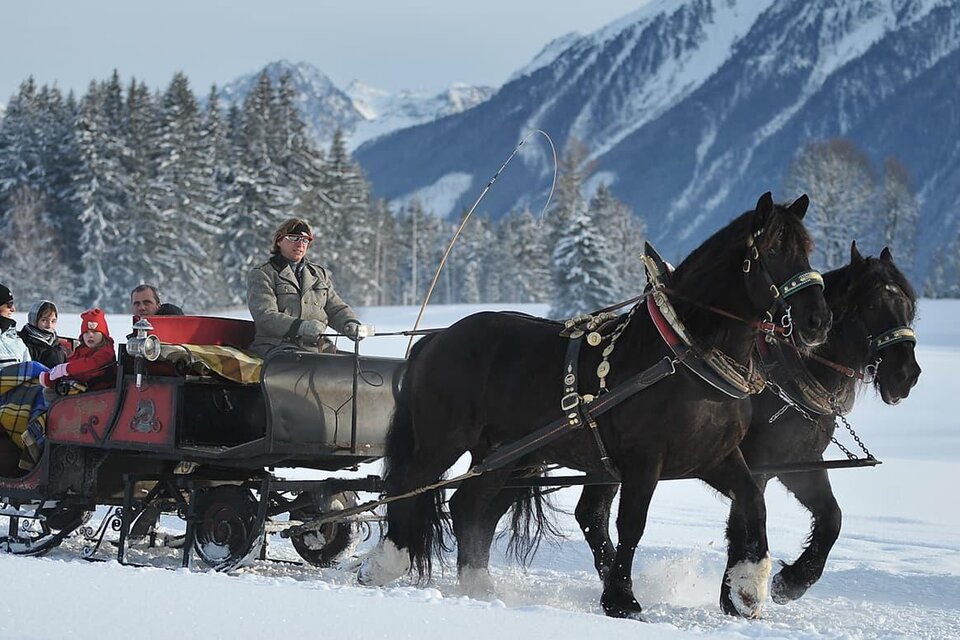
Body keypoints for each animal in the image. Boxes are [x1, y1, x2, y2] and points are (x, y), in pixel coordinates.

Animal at [358, 192, 833, 620]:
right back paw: (385, 564)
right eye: (774, 249)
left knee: (469, 507)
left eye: (807, 249)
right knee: (409, 484)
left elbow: (754, 501)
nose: (817, 321)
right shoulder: (643, 460)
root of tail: (439, 338)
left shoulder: (715, 457)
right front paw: (621, 599)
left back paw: (479, 585)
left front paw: (749, 587)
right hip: (444, 440)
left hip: (505, 455)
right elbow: (632, 524)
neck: (684, 354)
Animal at [574, 242, 920, 612]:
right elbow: (743, 521)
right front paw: (737, 594)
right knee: (593, 514)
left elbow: (831, 518)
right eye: (870, 304)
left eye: (908, 307)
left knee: (590, 513)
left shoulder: (797, 462)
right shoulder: (755, 464)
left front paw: (792, 581)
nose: (906, 375)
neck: (790, 369)